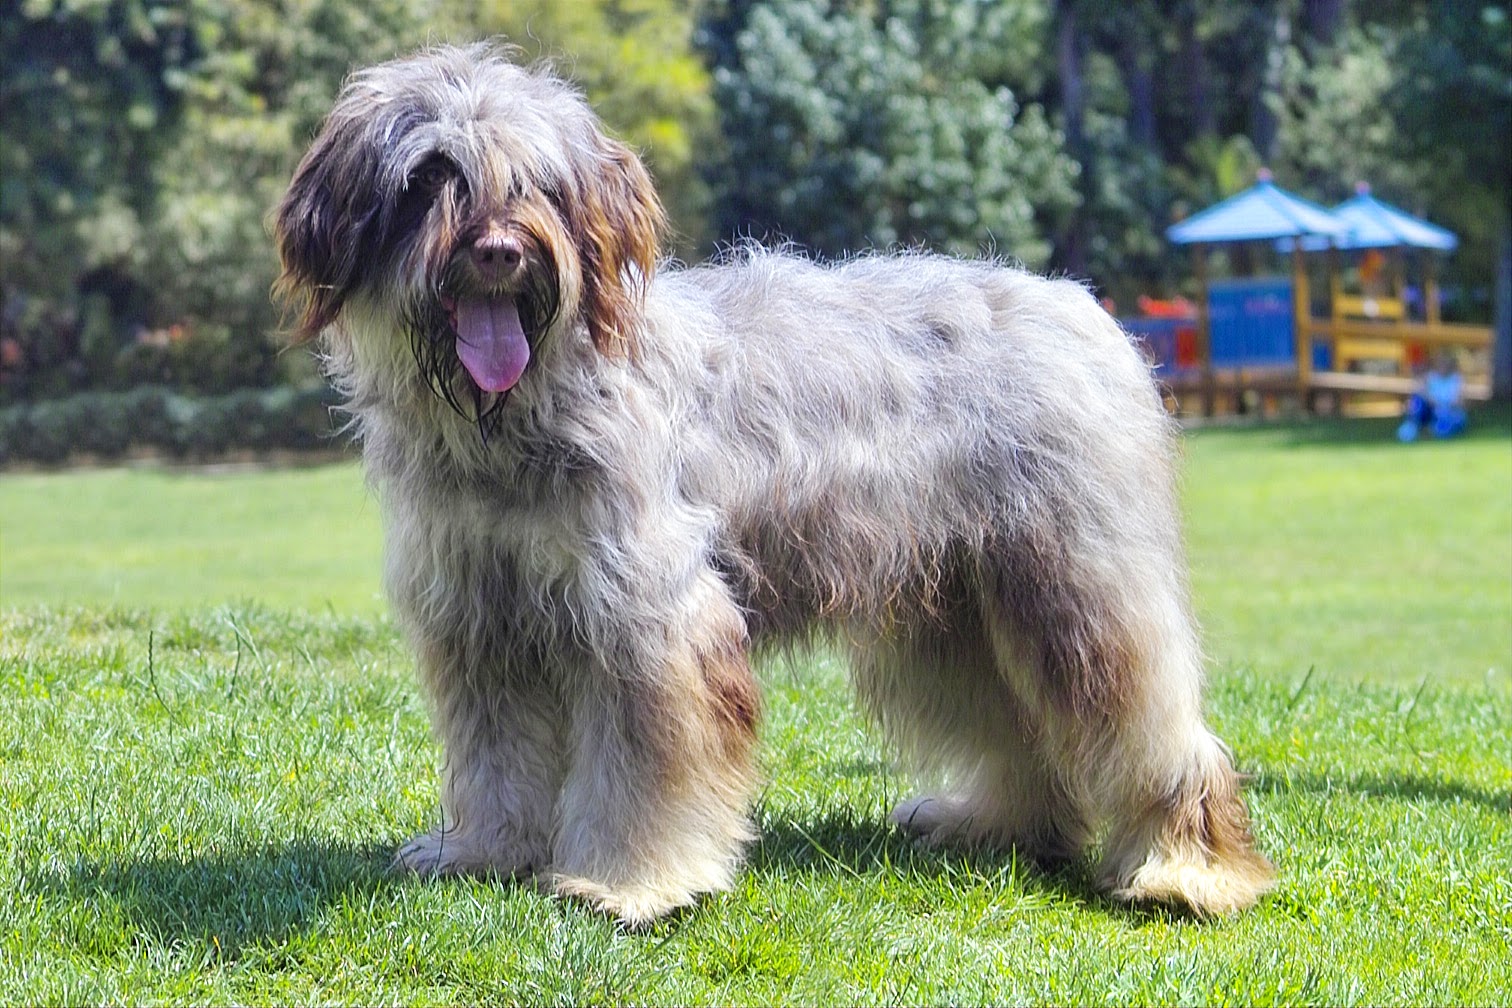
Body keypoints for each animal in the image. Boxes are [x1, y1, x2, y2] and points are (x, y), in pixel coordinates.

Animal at [275, 41, 1276, 930]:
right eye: (429, 175)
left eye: (541, 184)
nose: (498, 253)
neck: (519, 421)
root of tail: (1082, 307)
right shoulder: (481, 617)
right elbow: (495, 756)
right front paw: (482, 851)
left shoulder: (651, 618)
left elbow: (647, 766)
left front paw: (634, 885)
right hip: (959, 608)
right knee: (1021, 728)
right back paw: (995, 823)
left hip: (1077, 587)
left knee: (1149, 723)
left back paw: (1184, 869)